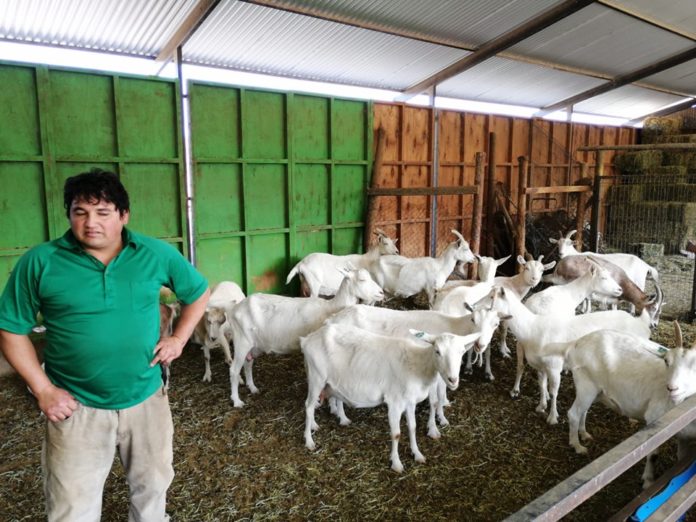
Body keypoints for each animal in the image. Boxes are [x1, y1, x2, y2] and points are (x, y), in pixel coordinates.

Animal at [227, 266, 380, 404]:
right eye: (362, 279)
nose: (381, 292)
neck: (330, 307)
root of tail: (235, 309)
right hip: (242, 340)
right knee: (234, 370)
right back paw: (237, 401)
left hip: (254, 344)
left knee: (248, 363)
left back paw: (253, 388)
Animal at [302, 322, 482, 470]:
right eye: (437, 351)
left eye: (462, 352)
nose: (453, 380)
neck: (417, 365)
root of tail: (307, 339)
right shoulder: (395, 402)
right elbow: (396, 434)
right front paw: (396, 463)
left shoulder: (410, 402)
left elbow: (412, 427)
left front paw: (417, 454)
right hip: (316, 376)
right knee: (308, 406)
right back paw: (309, 441)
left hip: (332, 381)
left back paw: (335, 421)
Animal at [492, 284, 648, 422]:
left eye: (491, 297)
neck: (532, 327)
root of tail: (639, 323)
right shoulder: (540, 366)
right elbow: (541, 385)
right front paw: (541, 406)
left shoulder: (554, 366)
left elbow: (554, 391)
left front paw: (552, 417)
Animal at [564, 324, 696, 488]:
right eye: (666, 361)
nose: (672, 388)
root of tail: (577, 343)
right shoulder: (654, 419)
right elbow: (653, 454)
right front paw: (648, 481)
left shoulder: (684, 434)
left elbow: (682, 457)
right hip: (586, 384)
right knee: (574, 413)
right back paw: (577, 446)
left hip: (593, 391)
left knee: (584, 410)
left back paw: (584, 434)